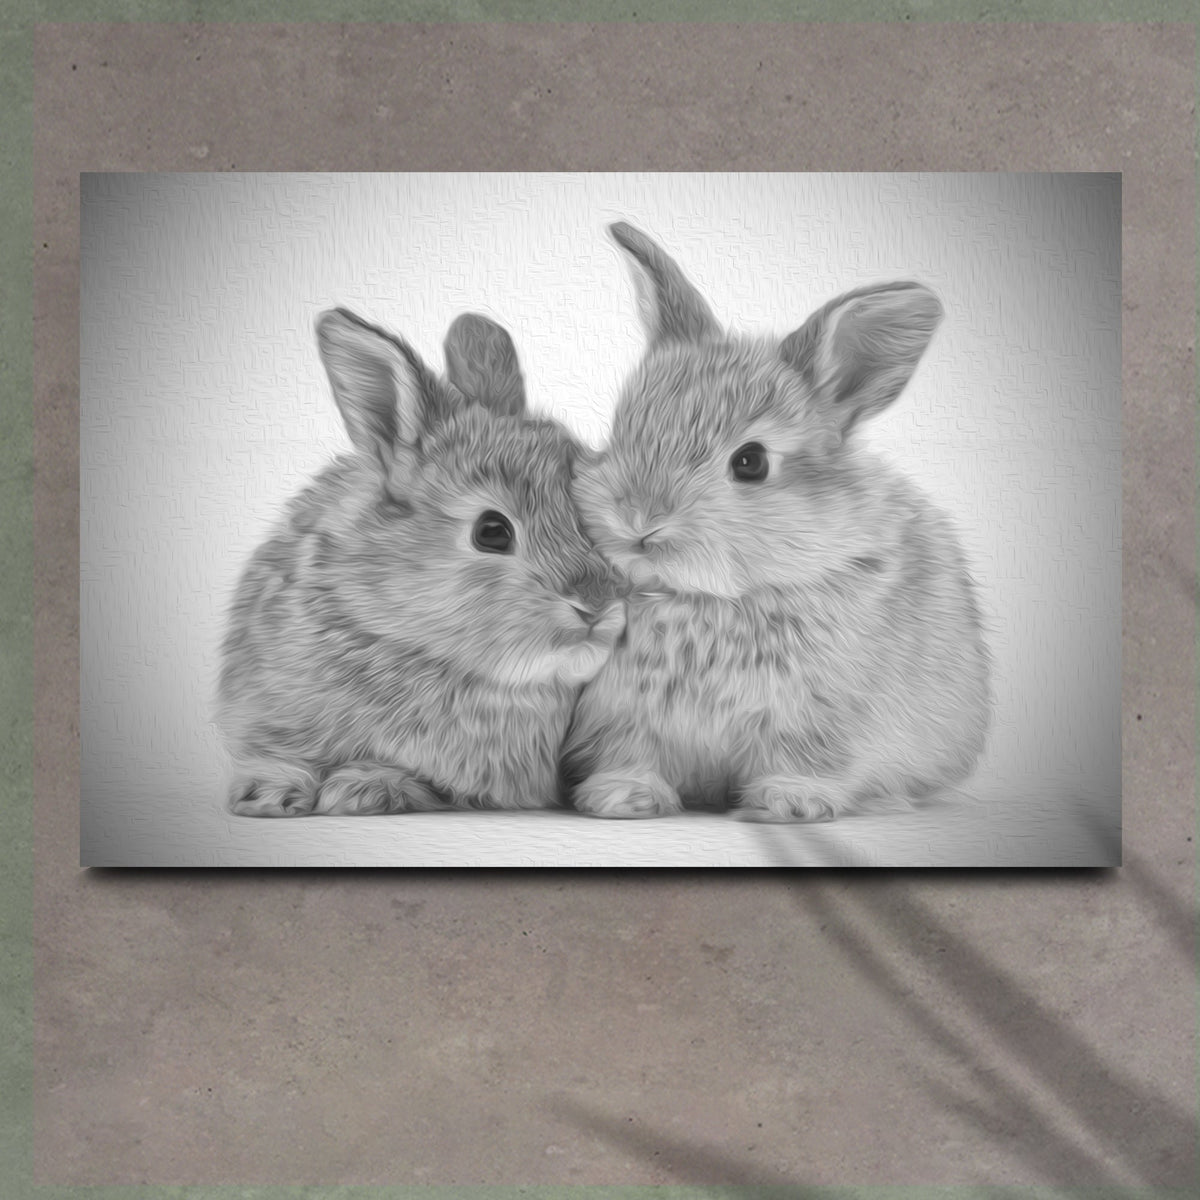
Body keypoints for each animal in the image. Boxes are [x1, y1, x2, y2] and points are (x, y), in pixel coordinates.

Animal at [216, 306, 625, 817]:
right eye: (492, 531)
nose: (598, 604)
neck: (413, 645)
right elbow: (277, 754)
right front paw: (266, 794)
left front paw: (362, 788)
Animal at [562, 221, 992, 822]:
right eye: (623, 431)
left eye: (751, 462)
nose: (638, 519)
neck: (709, 597)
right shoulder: (622, 715)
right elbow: (631, 753)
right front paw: (624, 796)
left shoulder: (819, 714)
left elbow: (805, 758)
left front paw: (793, 802)